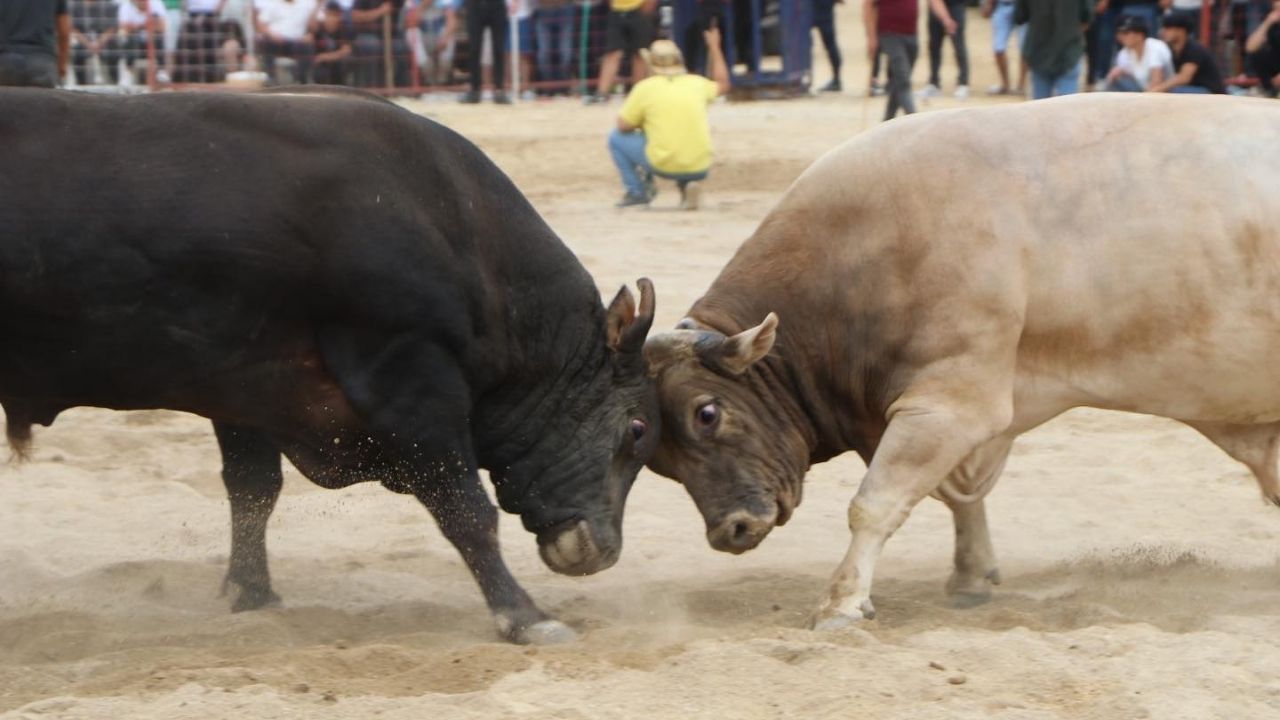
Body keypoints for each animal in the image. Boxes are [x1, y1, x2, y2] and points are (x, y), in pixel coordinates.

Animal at [0, 87, 660, 640]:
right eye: (636, 430)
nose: (604, 548)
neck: (454, 225)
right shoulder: (410, 378)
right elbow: (465, 509)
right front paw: (524, 615)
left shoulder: (247, 385)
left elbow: (253, 491)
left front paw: (252, 591)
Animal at [645, 92, 1280, 625]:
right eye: (659, 459)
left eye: (707, 413)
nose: (730, 529)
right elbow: (956, 499)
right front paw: (971, 575)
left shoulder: (952, 403)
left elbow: (875, 504)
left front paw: (843, 601)